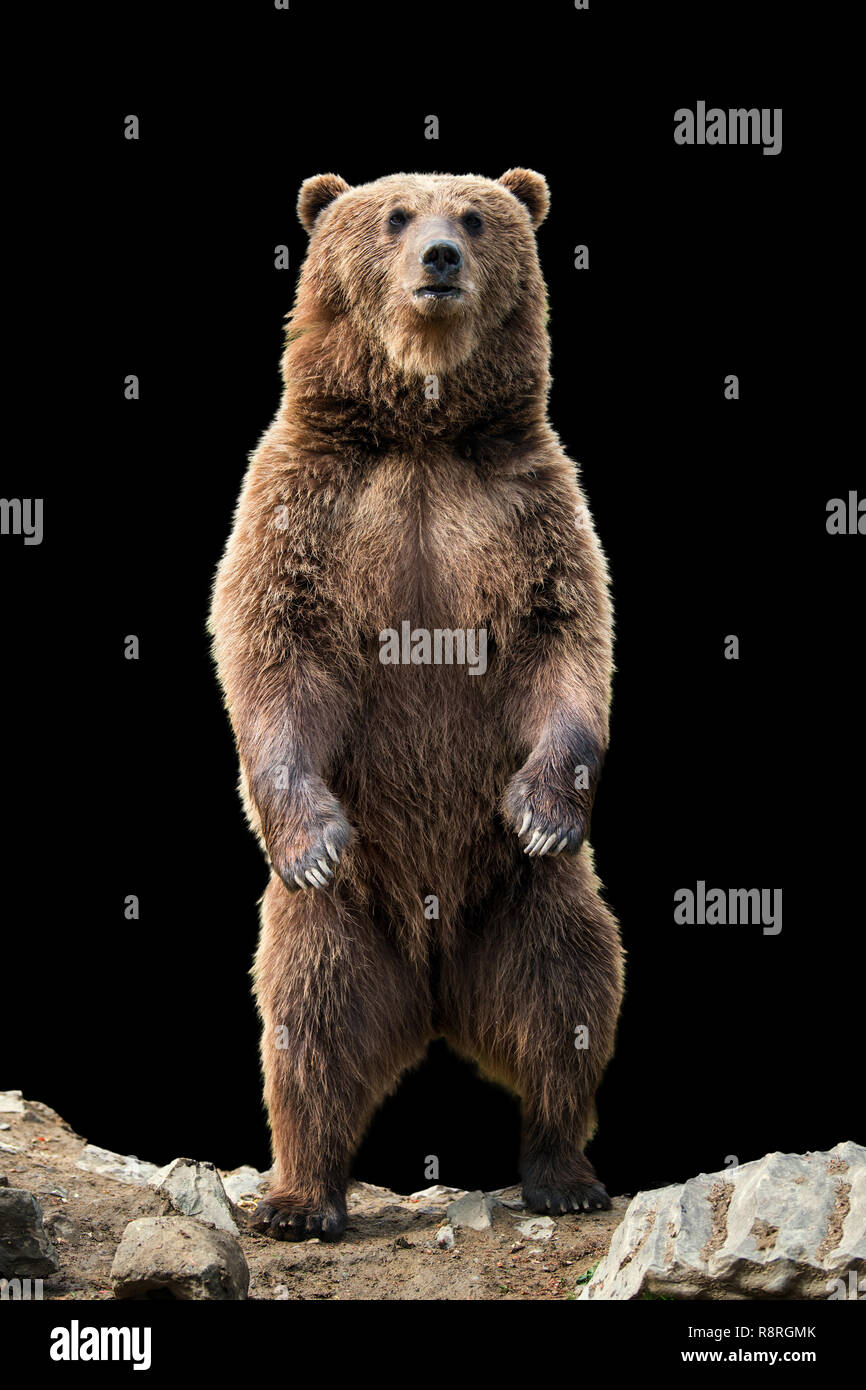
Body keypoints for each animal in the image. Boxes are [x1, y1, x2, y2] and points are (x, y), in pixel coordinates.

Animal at [209, 169, 624, 1241]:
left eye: (475, 216)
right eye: (395, 216)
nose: (440, 257)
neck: (421, 430)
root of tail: (434, 990)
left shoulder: (526, 505)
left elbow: (562, 642)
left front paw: (542, 808)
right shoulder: (306, 502)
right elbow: (276, 649)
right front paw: (310, 835)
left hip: (523, 901)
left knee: (569, 994)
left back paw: (564, 1172)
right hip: (344, 922)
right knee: (306, 1025)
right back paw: (300, 1197)